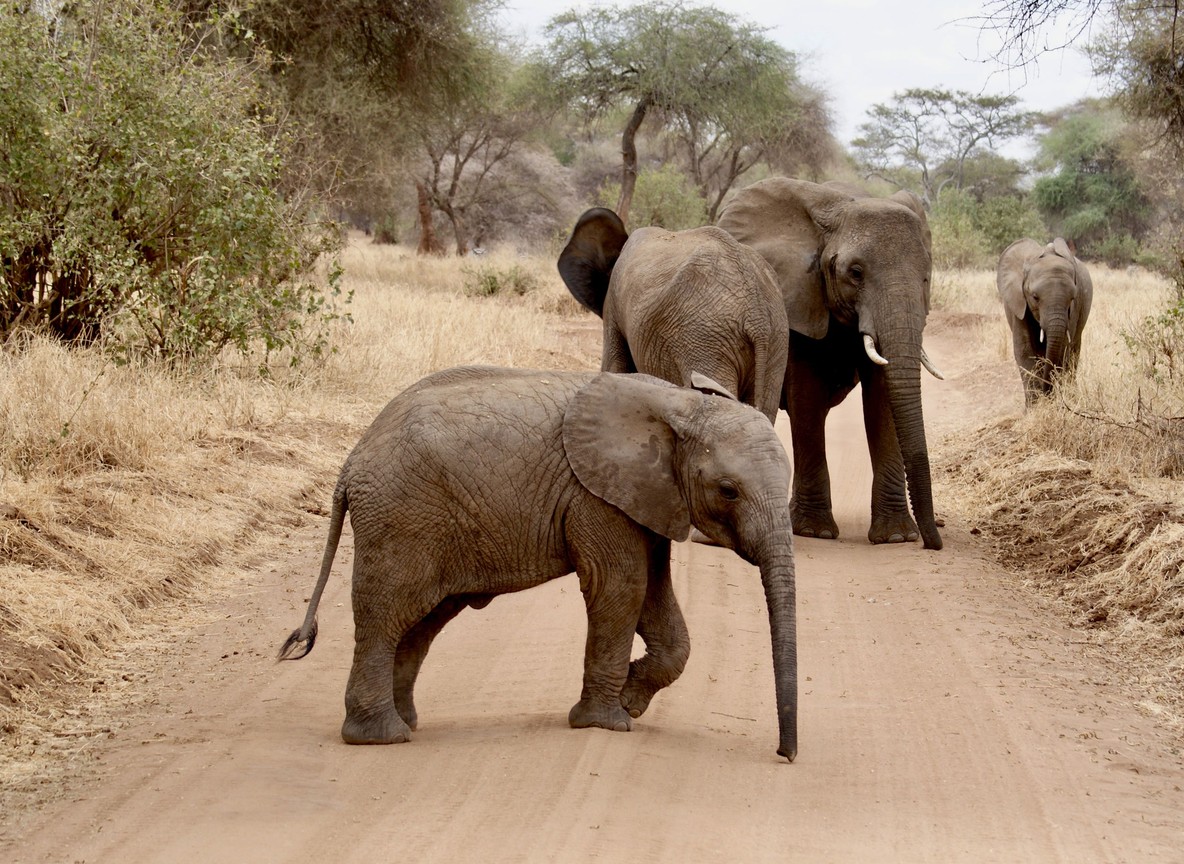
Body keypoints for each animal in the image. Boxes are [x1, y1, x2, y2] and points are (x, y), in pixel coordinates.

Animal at [279, 366, 799, 762]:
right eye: (728, 491)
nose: (785, 754)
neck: (680, 404)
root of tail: (350, 463)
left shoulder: (644, 497)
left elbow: (652, 591)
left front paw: (630, 701)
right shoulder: (596, 496)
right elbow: (621, 586)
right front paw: (607, 723)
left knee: (421, 624)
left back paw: (405, 722)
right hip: (401, 518)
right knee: (386, 617)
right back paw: (381, 737)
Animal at [717, 177, 944, 550]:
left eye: (926, 277)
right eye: (856, 273)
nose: (932, 543)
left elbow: (883, 398)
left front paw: (896, 537)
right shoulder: (799, 295)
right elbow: (807, 394)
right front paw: (815, 532)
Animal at [996, 237, 1093, 406]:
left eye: (1072, 298)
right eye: (1035, 297)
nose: (1046, 392)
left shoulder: (1073, 311)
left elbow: (1062, 351)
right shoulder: (1018, 303)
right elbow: (1024, 350)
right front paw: (1034, 407)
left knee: (1073, 352)